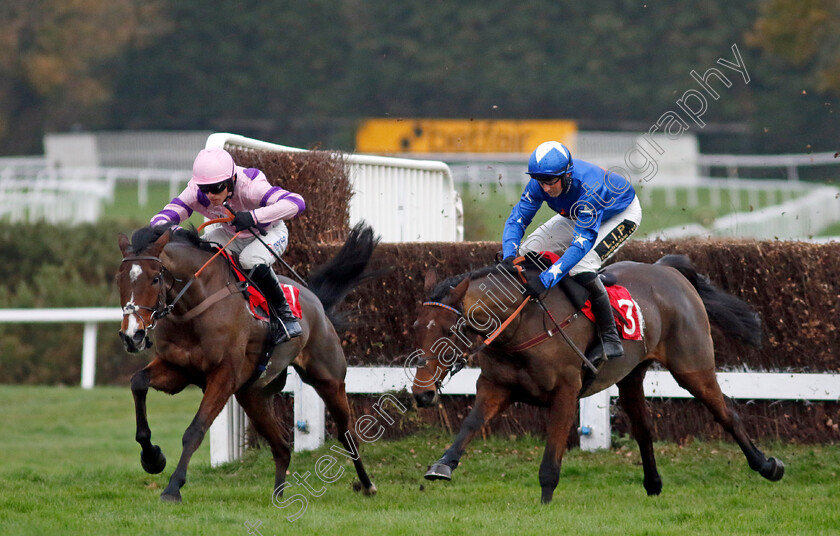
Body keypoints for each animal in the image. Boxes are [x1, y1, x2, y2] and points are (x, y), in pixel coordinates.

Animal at [115, 223, 378, 502]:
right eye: (119, 279)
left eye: (155, 278)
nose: (132, 335)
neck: (194, 307)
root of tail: (316, 301)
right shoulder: (178, 369)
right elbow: (138, 383)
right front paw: (152, 458)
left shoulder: (224, 376)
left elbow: (195, 429)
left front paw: (173, 487)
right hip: (253, 395)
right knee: (282, 446)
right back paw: (278, 496)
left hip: (328, 379)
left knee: (347, 434)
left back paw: (366, 484)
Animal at [410, 253, 784, 504]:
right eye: (416, 327)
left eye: (450, 331)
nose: (422, 393)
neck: (521, 325)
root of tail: (666, 269)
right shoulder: (495, 385)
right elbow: (471, 424)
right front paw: (442, 465)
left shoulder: (565, 391)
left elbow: (552, 453)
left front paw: (545, 504)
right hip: (631, 376)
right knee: (643, 429)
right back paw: (653, 485)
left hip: (693, 366)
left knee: (727, 415)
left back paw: (768, 466)